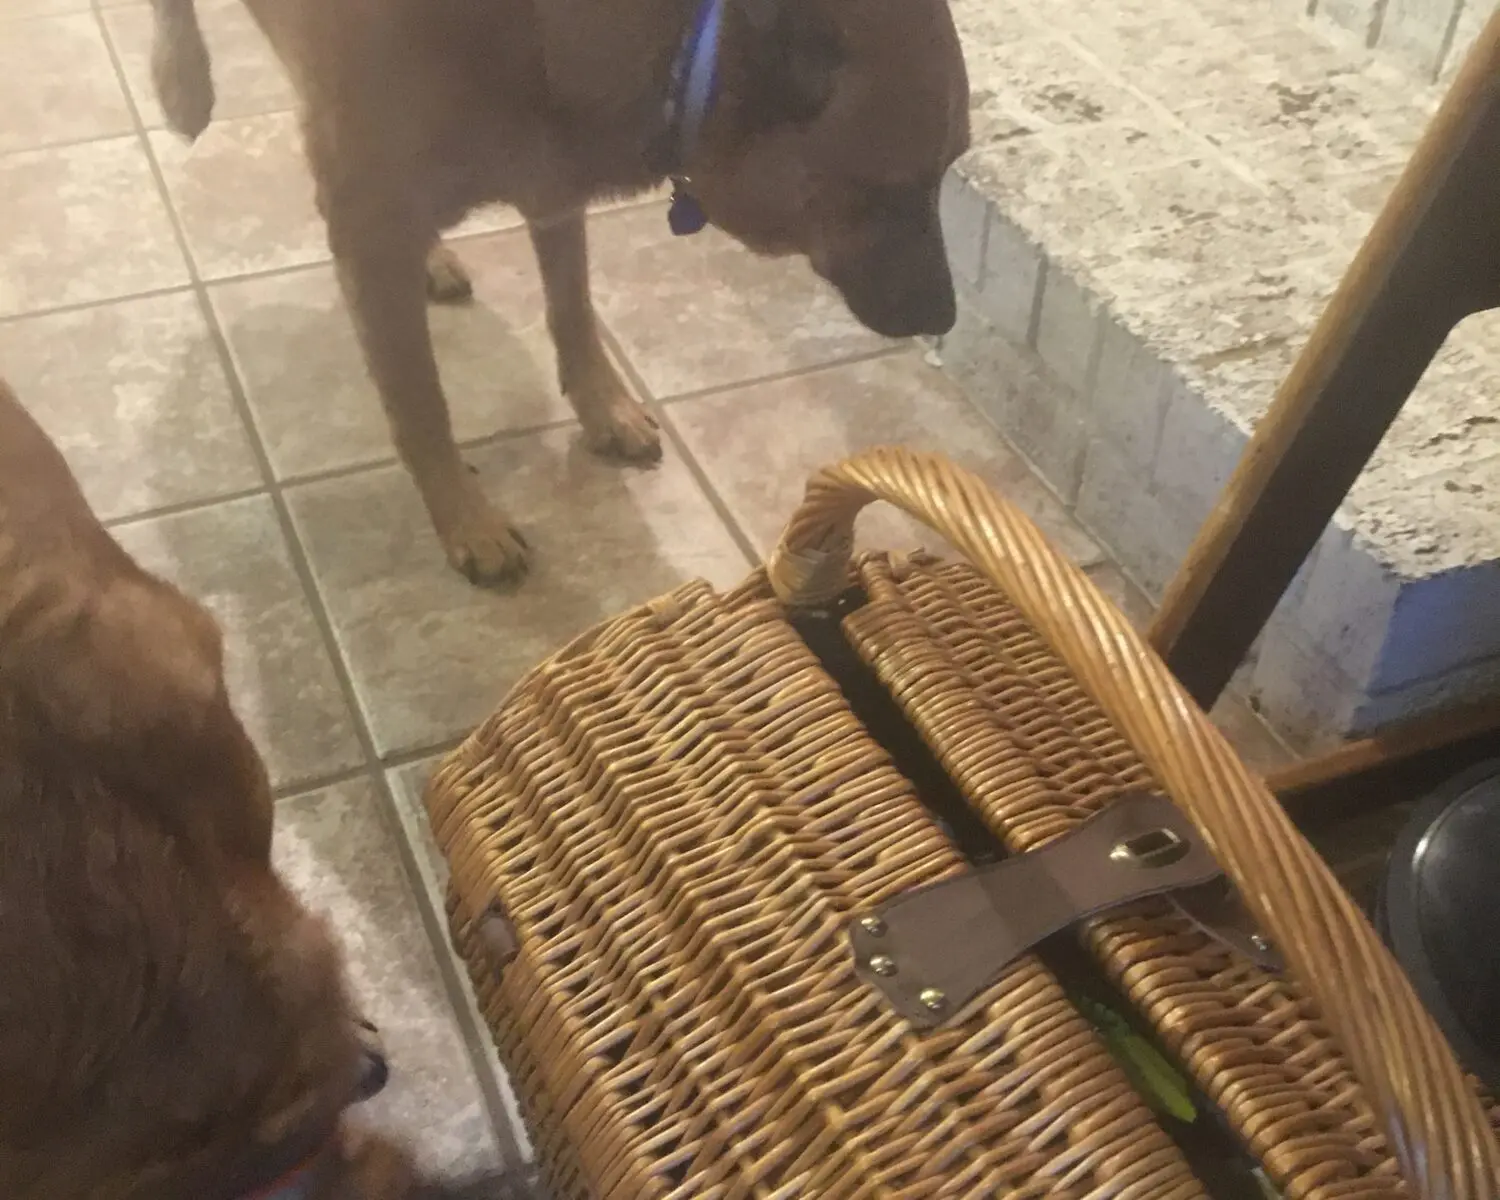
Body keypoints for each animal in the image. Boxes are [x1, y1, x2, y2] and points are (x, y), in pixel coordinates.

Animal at [148, 0, 970, 584]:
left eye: (948, 171)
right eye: (891, 191)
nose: (948, 318)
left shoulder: (551, 183)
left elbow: (572, 308)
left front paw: (601, 406)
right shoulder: (370, 223)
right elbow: (420, 404)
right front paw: (464, 515)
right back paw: (180, 79)